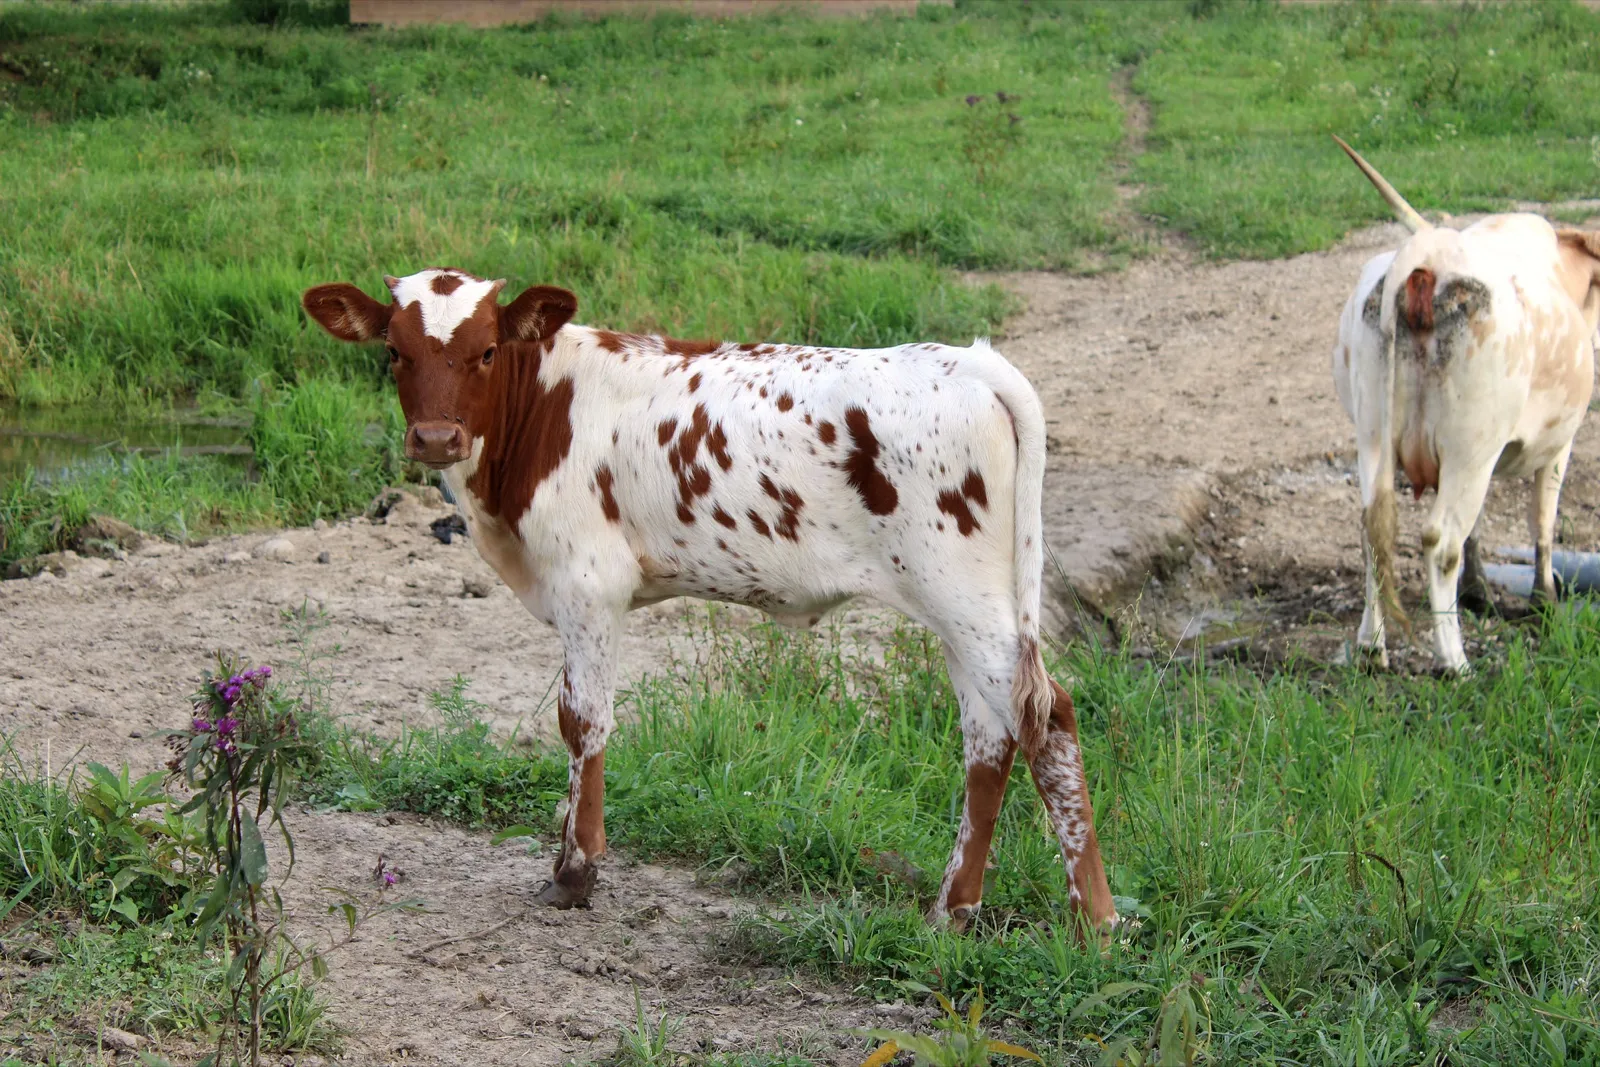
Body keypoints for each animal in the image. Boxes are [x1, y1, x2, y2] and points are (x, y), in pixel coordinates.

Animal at [301, 269, 1117, 934]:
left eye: (487, 352)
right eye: (394, 352)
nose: (436, 437)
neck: (545, 408)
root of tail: (969, 359)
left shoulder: (588, 585)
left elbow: (582, 720)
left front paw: (575, 871)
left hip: (965, 595)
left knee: (1048, 718)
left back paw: (1097, 924)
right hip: (965, 607)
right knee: (990, 734)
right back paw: (953, 909)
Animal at [1331, 136, 1600, 672]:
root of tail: (1428, 254)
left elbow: (1479, 529)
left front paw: (1478, 594)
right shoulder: (1556, 444)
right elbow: (1542, 524)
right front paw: (1545, 604)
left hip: (1374, 437)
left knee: (1373, 531)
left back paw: (1371, 647)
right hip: (1468, 445)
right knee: (1440, 541)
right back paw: (1452, 660)